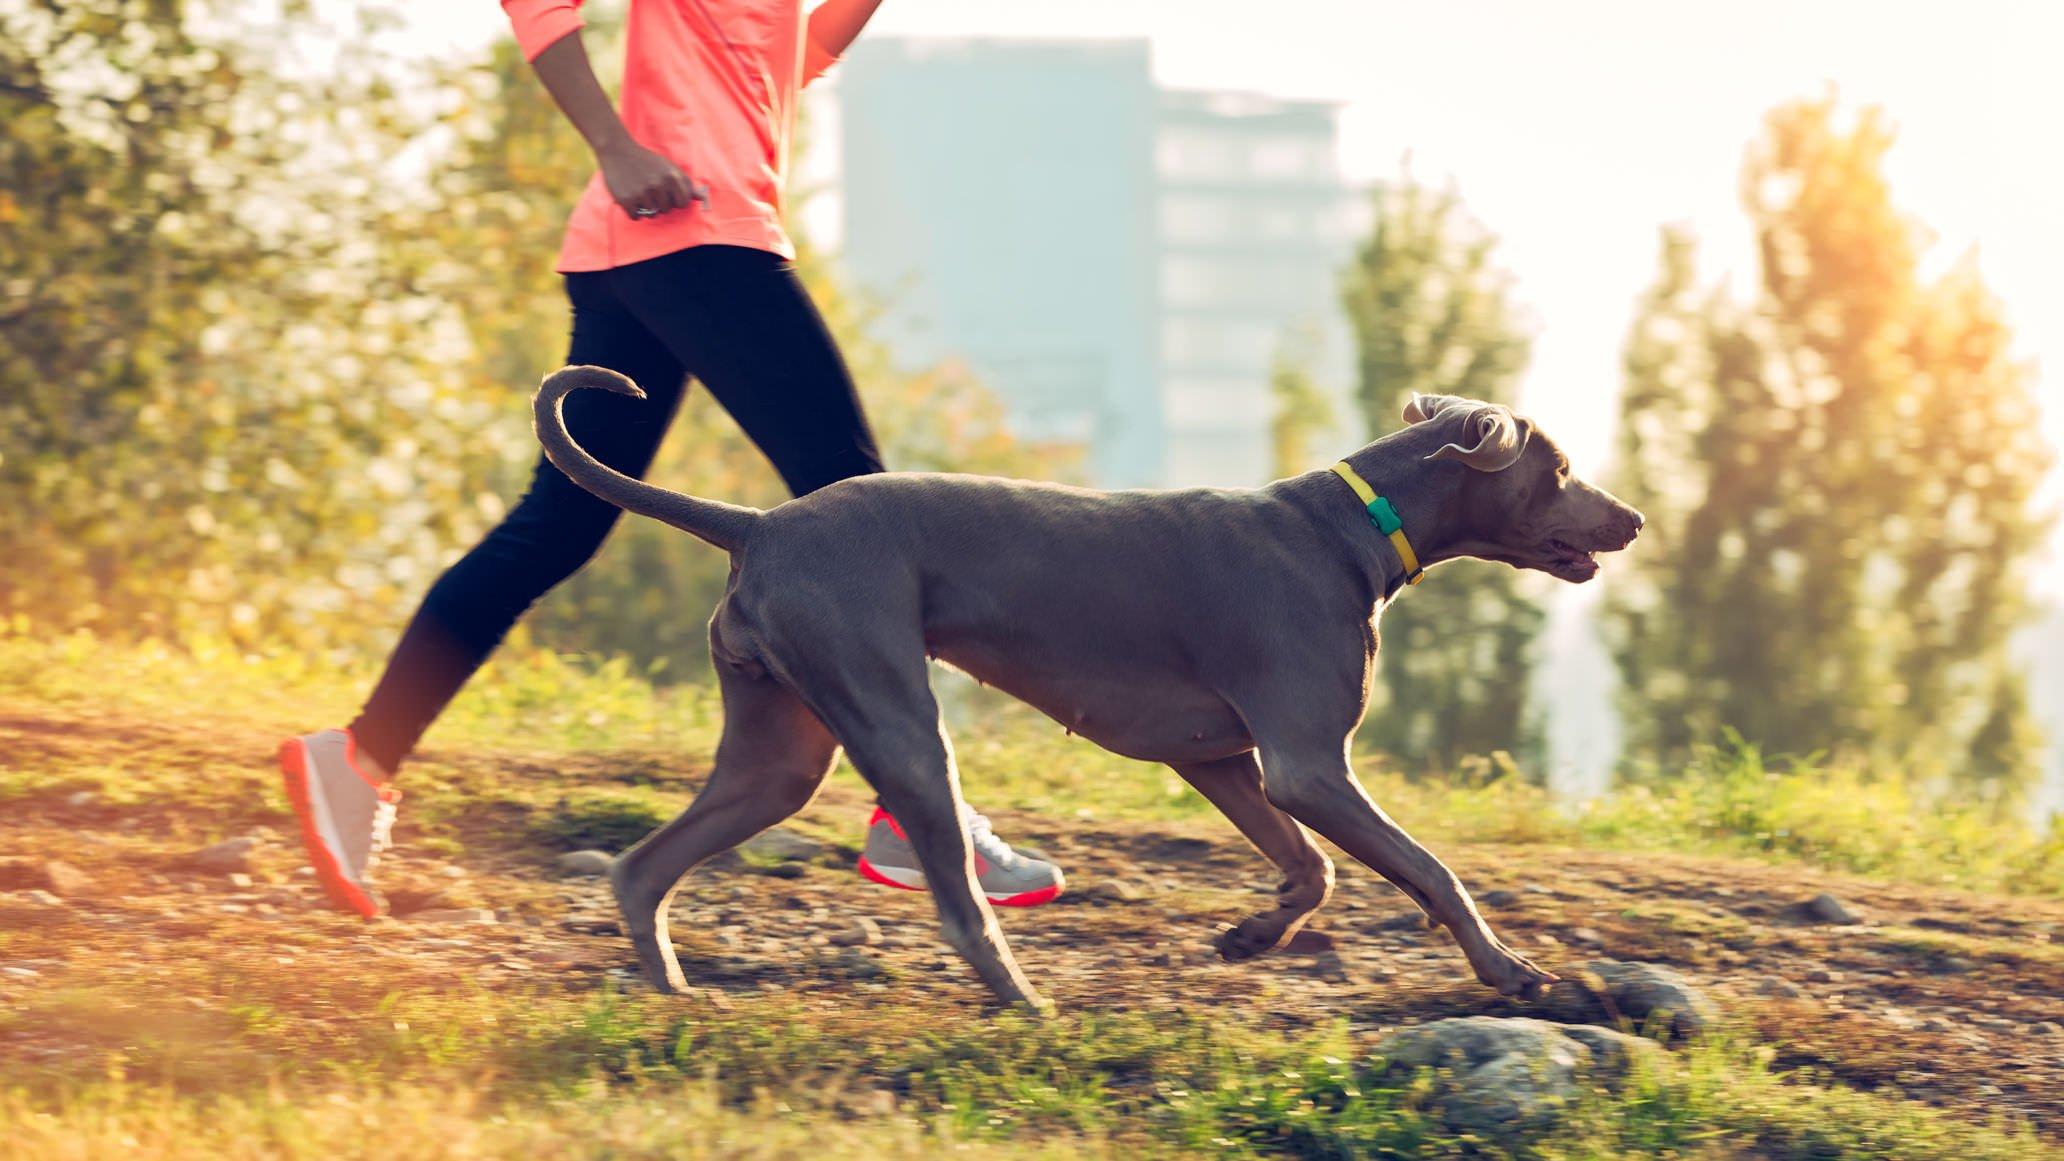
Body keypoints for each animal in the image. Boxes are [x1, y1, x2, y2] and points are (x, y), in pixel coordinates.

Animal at [532, 365, 1642, 1008]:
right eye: (1561, 468)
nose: (1631, 518)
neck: (1350, 526)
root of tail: (756, 523)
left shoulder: (1223, 759)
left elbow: (1314, 868)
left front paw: (1250, 935)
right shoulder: (1306, 763)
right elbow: (1431, 869)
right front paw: (1509, 971)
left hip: (778, 748)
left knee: (644, 866)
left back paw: (669, 986)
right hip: (894, 718)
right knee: (959, 904)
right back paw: (1026, 1001)